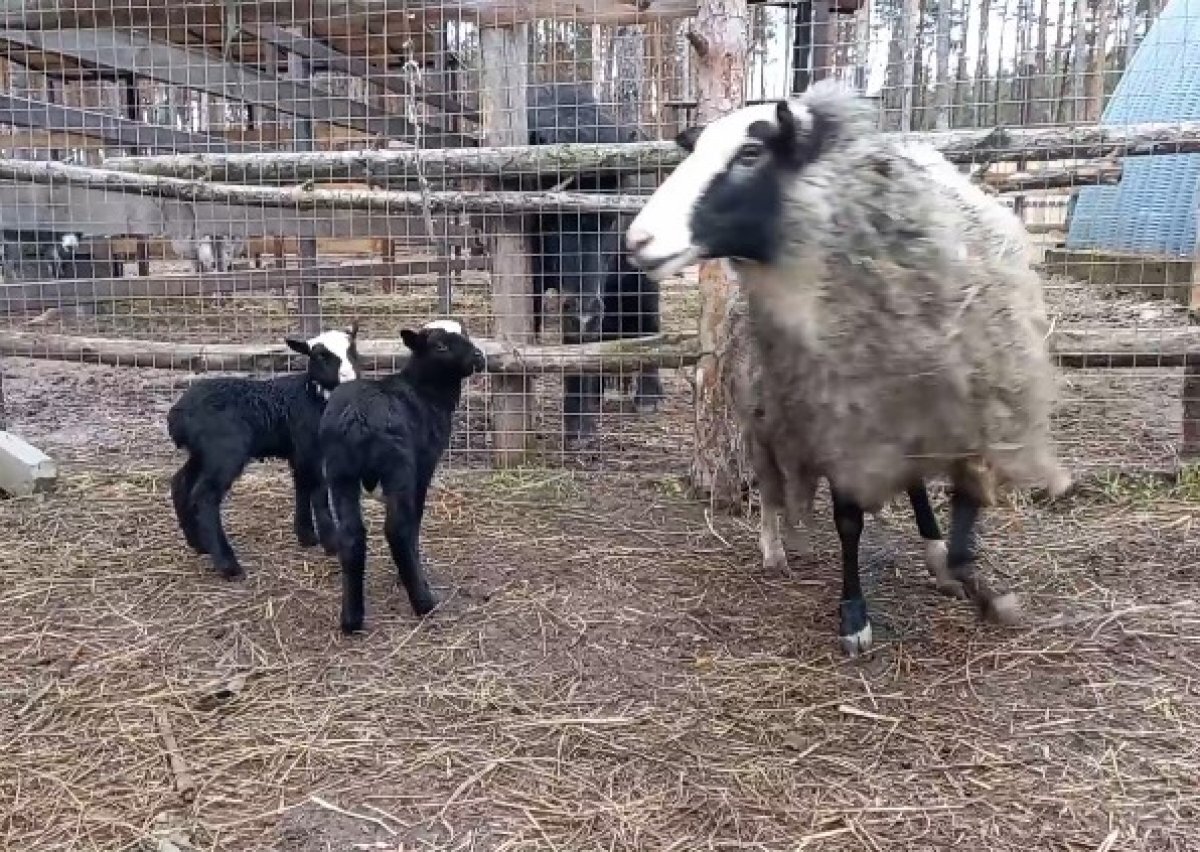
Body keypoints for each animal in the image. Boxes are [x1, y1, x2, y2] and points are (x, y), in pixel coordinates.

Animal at [168, 321, 360, 580]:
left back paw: (198, 544)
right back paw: (228, 565)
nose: (350, 378)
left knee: (180, 483)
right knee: (205, 496)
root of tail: (178, 414)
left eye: (352, 349)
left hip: (202, 453)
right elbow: (319, 492)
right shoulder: (311, 448)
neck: (313, 395)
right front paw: (332, 544)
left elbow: (302, 487)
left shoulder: (298, 452)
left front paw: (306, 537)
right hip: (225, 452)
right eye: (320, 355)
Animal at [324, 319, 487, 633]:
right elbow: (415, 519)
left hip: (339, 472)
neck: (425, 390)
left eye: (466, 334)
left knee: (351, 534)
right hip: (398, 466)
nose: (478, 357)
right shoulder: (423, 467)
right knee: (396, 528)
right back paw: (424, 602)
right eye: (440, 346)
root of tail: (358, 418)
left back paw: (351, 619)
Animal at [624, 80, 1075, 652]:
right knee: (770, 483)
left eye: (751, 153)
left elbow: (964, 510)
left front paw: (978, 589)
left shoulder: (968, 412)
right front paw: (854, 616)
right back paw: (774, 548)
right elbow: (848, 522)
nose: (638, 241)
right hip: (764, 410)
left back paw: (931, 550)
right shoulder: (836, 421)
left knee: (913, 484)